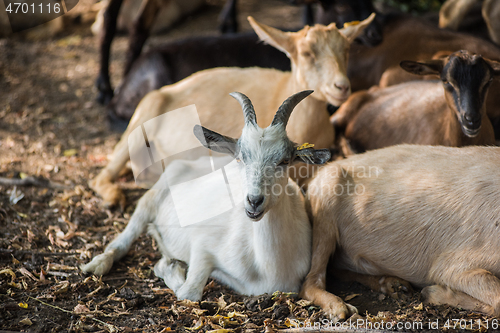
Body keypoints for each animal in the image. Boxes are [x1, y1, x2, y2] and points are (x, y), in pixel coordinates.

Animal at [82, 90, 332, 298]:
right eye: (240, 158)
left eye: (284, 160)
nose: (254, 201)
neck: (267, 268)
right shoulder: (203, 245)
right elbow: (188, 292)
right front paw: (168, 266)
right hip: (152, 197)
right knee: (126, 236)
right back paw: (96, 264)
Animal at [90, 14, 374, 210]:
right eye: (306, 53)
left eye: (346, 50)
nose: (341, 86)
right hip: (138, 123)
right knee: (104, 174)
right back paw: (115, 197)